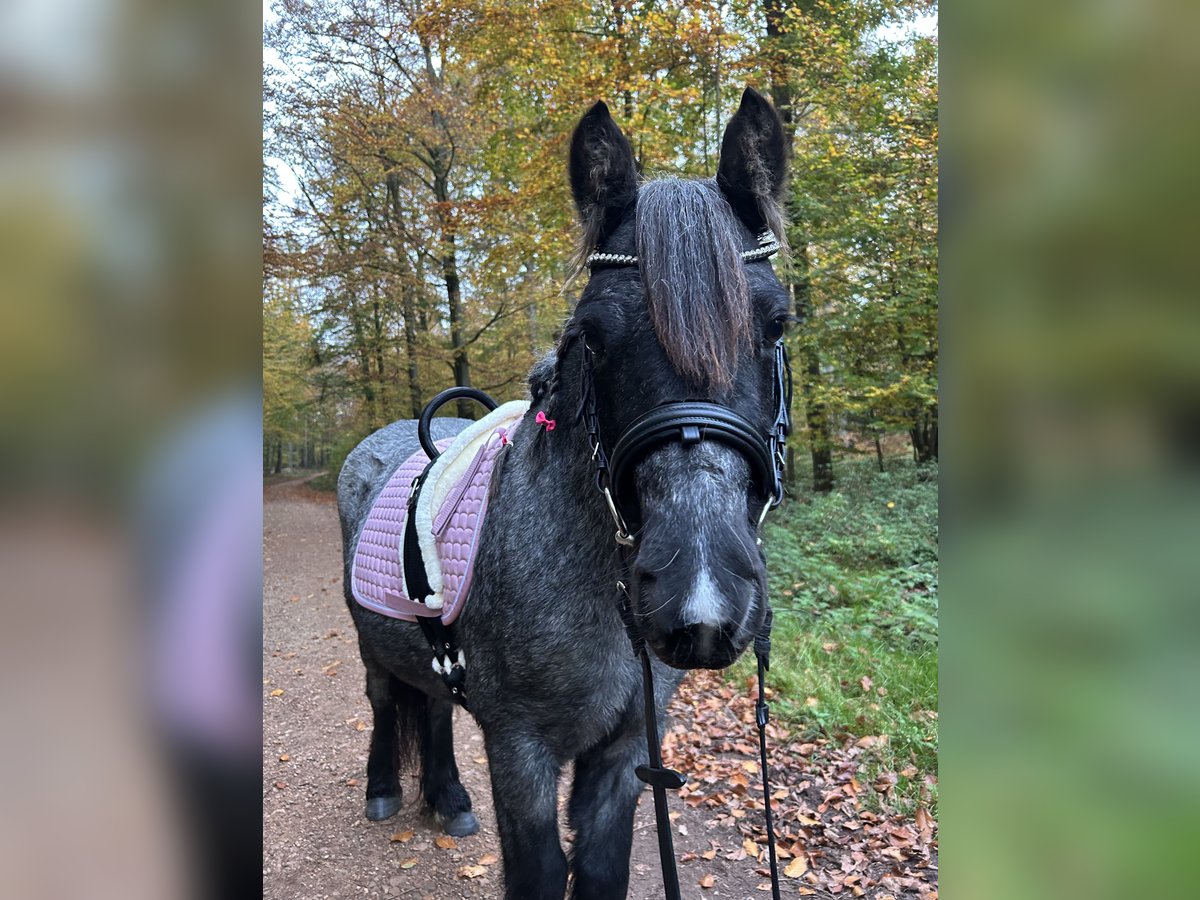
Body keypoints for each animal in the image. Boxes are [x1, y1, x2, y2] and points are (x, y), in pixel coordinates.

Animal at [333, 86, 792, 900]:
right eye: (594, 336)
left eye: (776, 323)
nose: (699, 598)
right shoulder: (520, 749)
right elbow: (542, 872)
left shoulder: (624, 753)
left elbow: (602, 868)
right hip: (372, 646)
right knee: (388, 700)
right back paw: (384, 789)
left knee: (435, 710)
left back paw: (449, 798)